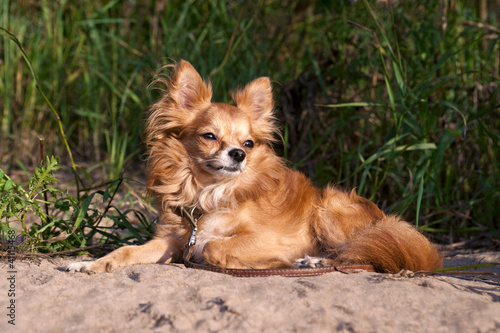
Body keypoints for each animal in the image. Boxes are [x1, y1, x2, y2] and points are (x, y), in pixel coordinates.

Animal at [65, 61, 442, 274]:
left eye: (247, 144)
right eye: (209, 136)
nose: (238, 155)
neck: (208, 191)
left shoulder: (275, 238)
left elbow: (214, 246)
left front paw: (271, 261)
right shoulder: (172, 242)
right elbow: (126, 251)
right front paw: (89, 263)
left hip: (329, 209)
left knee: (362, 253)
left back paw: (317, 261)